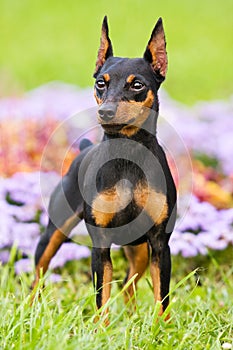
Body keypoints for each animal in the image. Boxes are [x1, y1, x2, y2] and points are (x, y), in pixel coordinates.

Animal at [33, 16, 177, 322]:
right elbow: (102, 296)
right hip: (54, 231)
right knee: (37, 274)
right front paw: (101, 329)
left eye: (137, 85)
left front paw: (163, 328)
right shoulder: (100, 243)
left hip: (139, 249)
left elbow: (162, 297)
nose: (106, 112)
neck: (128, 158)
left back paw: (133, 318)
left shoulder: (160, 243)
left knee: (128, 284)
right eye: (101, 83)